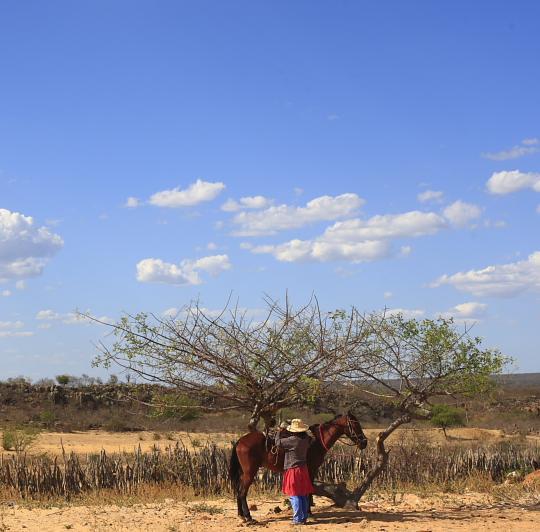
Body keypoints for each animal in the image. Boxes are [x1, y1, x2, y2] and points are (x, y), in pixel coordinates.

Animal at [228, 414, 368, 520]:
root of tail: (240, 441)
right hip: (250, 472)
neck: (317, 441)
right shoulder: (311, 469)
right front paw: (309, 513)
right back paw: (248, 516)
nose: (364, 442)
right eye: (355, 425)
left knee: (239, 490)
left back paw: (241, 515)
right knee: (242, 492)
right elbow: (309, 490)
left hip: (243, 473)